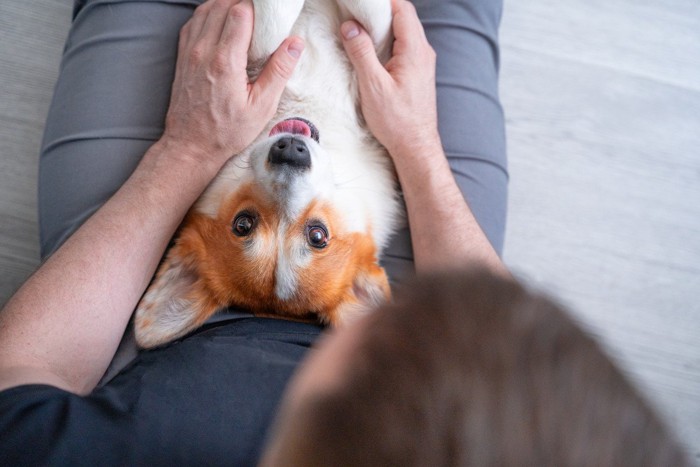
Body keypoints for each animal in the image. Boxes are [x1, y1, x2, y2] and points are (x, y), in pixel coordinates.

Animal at [134, 0, 402, 350]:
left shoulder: (376, 63)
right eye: (243, 224)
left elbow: (371, 24)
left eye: (317, 236)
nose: (290, 152)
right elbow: (269, 37)